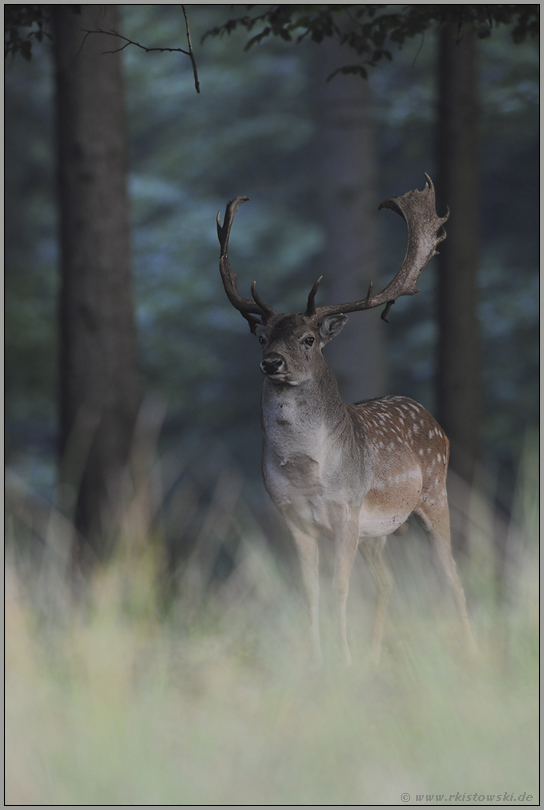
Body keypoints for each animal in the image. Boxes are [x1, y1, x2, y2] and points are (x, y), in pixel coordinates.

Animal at [217, 174, 476, 664]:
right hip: (379, 532)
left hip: (434, 493)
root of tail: (433, 420)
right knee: (389, 581)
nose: (272, 363)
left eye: (308, 338)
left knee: (453, 573)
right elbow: (310, 591)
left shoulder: (347, 511)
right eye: (262, 336)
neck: (306, 473)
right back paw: (376, 658)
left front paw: (345, 660)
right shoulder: (292, 517)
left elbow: (339, 588)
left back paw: (469, 652)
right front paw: (318, 660)